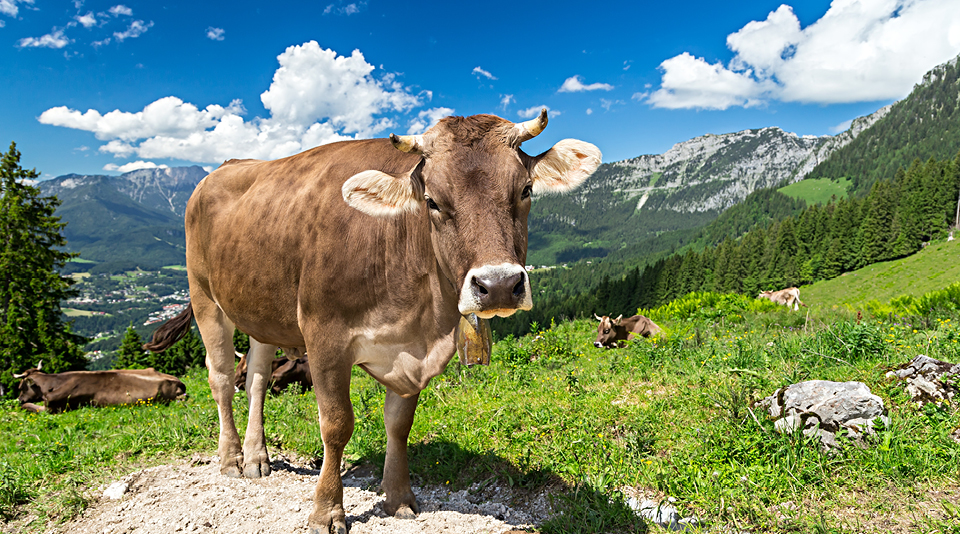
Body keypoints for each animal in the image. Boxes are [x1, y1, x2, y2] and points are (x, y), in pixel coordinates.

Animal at [144, 110, 600, 534]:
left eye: (525, 190)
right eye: (432, 201)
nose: (500, 285)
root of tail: (226, 165)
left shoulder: (411, 352)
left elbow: (399, 424)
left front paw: (398, 498)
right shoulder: (324, 336)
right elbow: (336, 425)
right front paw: (327, 511)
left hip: (261, 308)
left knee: (256, 375)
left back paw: (258, 457)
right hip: (205, 297)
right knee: (221, 376)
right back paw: (232, 458)